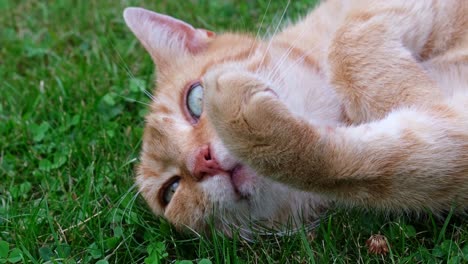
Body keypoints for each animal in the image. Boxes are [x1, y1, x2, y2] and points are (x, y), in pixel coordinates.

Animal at [123, 0, 468, 235]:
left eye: (195, 99)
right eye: (171, 191)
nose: (202, 160)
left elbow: (347, 43)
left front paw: (413, 94)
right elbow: (371, 165)